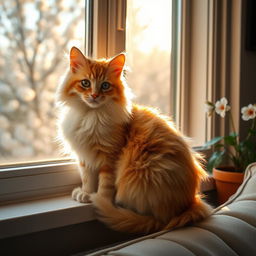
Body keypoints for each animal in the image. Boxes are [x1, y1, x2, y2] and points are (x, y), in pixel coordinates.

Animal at [56, 46, 212, 234]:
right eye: (85, 83)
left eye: (105, 86)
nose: (94, 95)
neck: (92, 116)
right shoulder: (85, 156)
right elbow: (87, 177)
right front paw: (86, 193)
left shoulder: (110, 157)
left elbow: (105, 184)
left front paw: (99, 198)